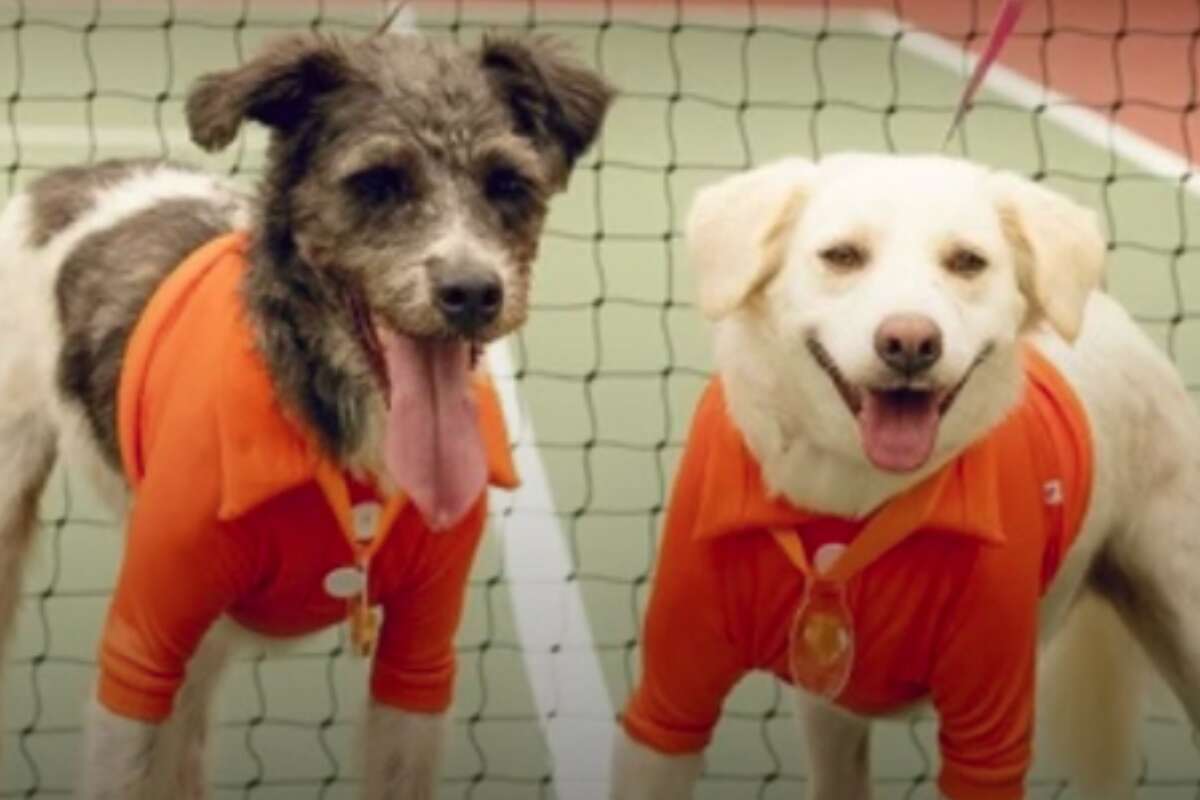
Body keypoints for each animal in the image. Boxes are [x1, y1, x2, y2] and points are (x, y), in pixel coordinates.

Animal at [0, 26, 609, 800]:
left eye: (508, 184)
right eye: (377, 182)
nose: (472, 291)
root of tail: (65, 182)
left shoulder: (418, 659)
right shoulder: (142, 653)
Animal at [614, 153, 1195, 796]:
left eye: (967, 262)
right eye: (842, 256)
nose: (911, 343)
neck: (849, 494)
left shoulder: (988, 730)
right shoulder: (669, 708)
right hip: (829, 712)